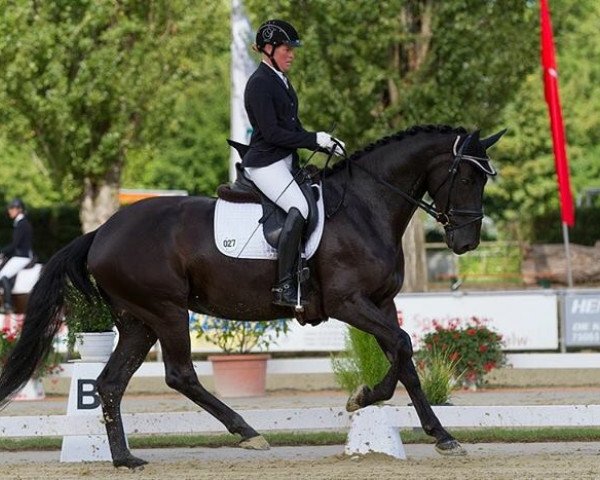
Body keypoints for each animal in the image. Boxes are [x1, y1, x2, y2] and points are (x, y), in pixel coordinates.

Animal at [0, 123, 506, 464]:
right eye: (467, 178)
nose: (466, 243)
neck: (367, 208)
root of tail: (102, 232)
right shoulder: (350, 303)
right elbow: (401, 347)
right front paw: (366, 399)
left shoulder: (381, 303)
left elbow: (404, 359)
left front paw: (435, 432)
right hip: (166, 311)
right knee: (180, 375)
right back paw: (247, 432)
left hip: (137, 320)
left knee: (110, 383)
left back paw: (126, 459)